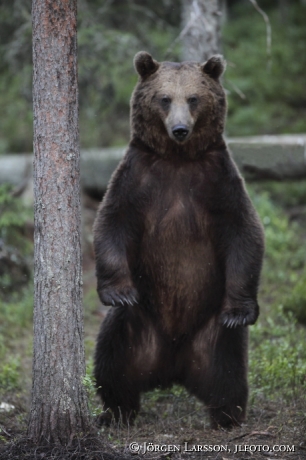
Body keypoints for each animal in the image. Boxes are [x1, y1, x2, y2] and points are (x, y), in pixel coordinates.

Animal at [93, 52, 266, 430]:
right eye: (164, 98)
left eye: (194, 98)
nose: (180, 129)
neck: (177, 158)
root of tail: (172, 366)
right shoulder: (137, 176)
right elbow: (112, 222)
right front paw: (118, 291)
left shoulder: (218, 179)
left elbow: (245, 232)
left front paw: (242, 310)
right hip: (138, 323)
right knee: (111, 361)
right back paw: (116, 412)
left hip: (211, 332)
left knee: (229, 374)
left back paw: (227, 418)